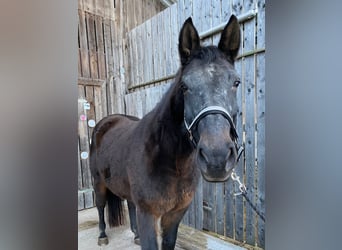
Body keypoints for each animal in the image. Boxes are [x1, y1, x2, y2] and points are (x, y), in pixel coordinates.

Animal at [89, 15, 242, 250]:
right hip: (99, 184)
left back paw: (135, 235)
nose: (216, 159)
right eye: (184, 86)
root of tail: (106, 122)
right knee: (100, 206)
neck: (172, 162)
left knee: (129, 205)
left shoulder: (175, 214)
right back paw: (102, 235)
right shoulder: (148, 214)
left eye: (236, 82)